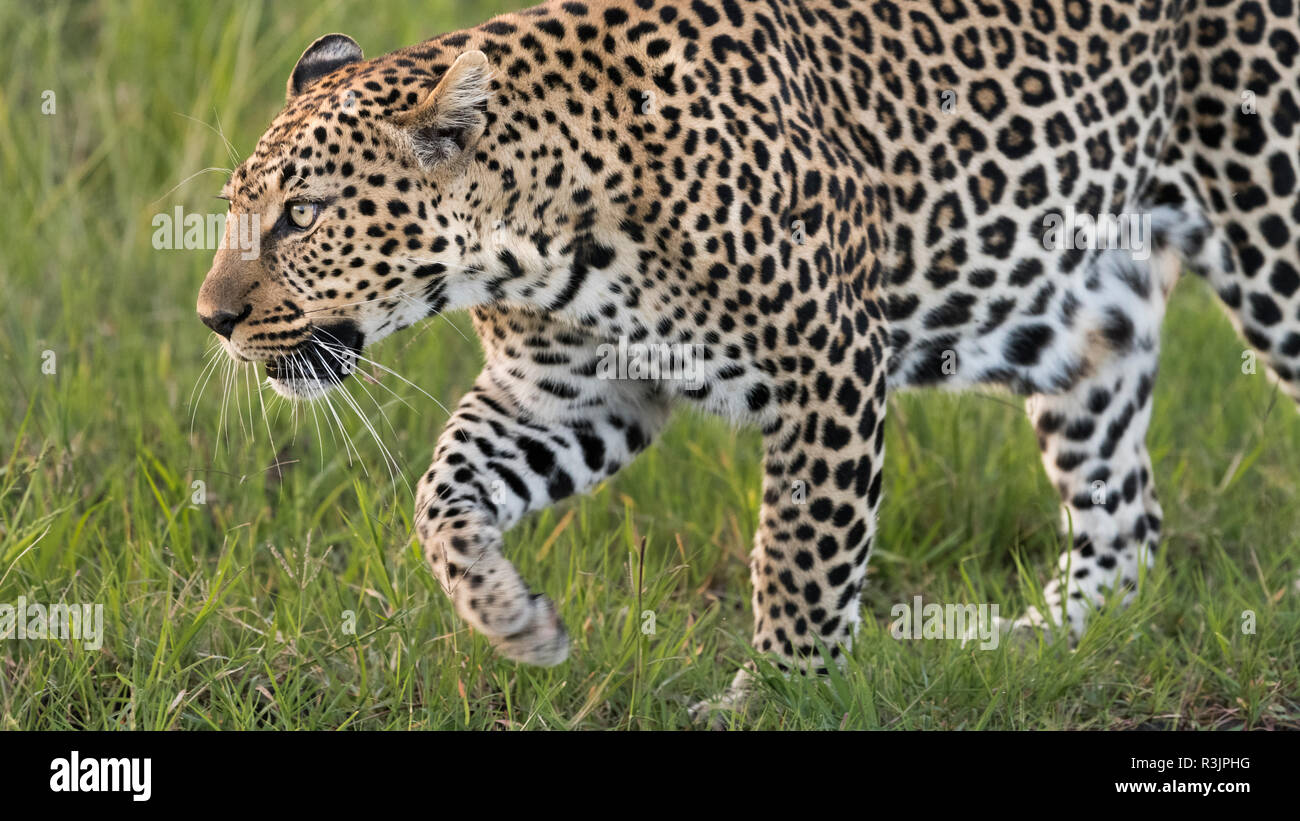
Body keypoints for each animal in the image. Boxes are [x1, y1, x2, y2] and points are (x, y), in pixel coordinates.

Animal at [195, 0, 1300, 717]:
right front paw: (513, 620)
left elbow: (800, 558)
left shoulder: (829, 366)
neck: (539, 238)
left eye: (304, 215)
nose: (211, 316)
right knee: (1129, 516)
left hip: (1272, 234)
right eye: (241, 207)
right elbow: (443, 492)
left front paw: (777, 694)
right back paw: (1043, 647)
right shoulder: (570, 394)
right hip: (1084, 314)